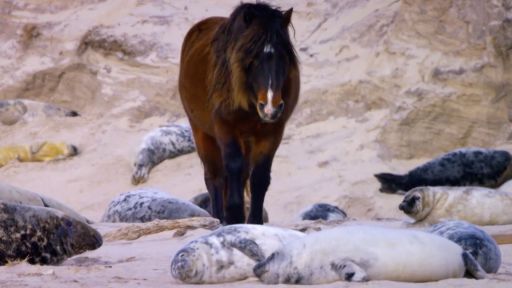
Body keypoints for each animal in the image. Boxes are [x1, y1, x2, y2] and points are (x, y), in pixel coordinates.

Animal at [179, 2, 300, 225]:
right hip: (202, 132)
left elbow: (259, 176)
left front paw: (254, 221)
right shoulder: (225, 127)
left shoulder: (272, 132)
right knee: (215, 177)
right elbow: (232, 167)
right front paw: (234, 215)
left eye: (284, 56)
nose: (270, 107)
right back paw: (219, 218)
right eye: (252, 57)